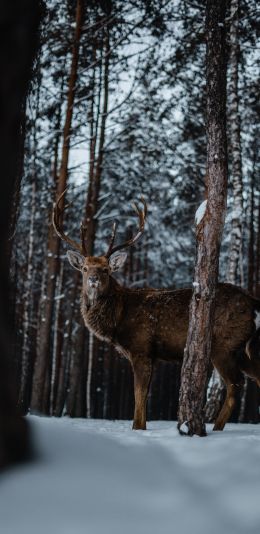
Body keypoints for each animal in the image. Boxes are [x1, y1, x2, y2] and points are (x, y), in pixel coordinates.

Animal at [52, 191, 260, 434]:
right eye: (85, 268)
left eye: (105, 269)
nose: (93, 279)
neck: (118, 321)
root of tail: (254, 302)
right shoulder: (153, 355)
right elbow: (144, 397)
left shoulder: (141, 348)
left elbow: (139, 396)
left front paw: (137, 429)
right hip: (242, 348)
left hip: (224, 345)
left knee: (235, 384)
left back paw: (215, 429)